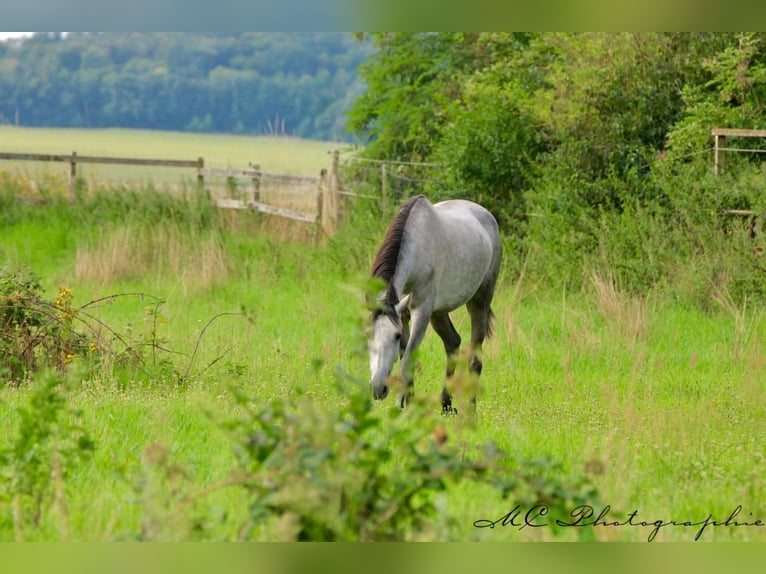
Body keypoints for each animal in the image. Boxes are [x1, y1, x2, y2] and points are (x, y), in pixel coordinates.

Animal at [368, 194, 502, 412]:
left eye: (396, 336)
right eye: (367, 335)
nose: (378, 388)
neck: (417, 245)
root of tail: (487, 215)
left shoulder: (421, 311)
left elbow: (406, 361)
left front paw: (399, 407)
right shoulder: (405, 312)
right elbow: (408, 358)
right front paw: (409, 404)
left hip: (479, 300)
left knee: (475, 359)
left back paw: (471, 410)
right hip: (439, 312)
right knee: (453, 343)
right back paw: (446, 403)